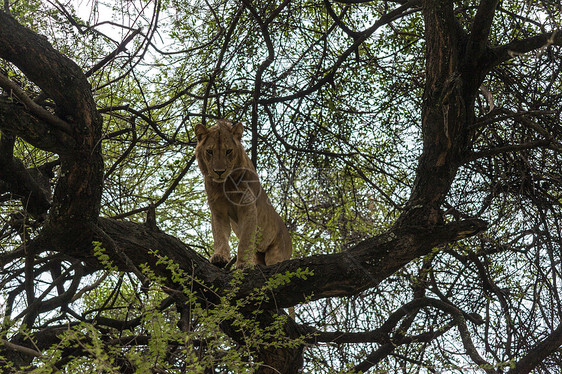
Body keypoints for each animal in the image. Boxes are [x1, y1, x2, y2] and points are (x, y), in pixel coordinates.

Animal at [194, 120, 290, 268]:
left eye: (228, 151)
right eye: (209, 151)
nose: (219, 172)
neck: (225, 185)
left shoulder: (248, 207)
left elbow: (245, 240)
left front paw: (243, 264)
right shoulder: (218, 211)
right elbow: (220, 235)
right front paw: (219, 257)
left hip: (277, 251)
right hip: (258, 254)